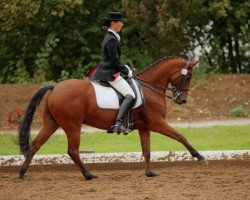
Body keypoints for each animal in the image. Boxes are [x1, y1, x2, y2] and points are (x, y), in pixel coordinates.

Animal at [18, 55, 208, 180]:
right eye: (188, 76)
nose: (182, 100)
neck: (150, 89)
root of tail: (55, 87)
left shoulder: (145, 127)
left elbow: (146, 151)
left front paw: (149, 173)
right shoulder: (157, 123)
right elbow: (180, 136)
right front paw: (200, 157)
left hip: (52, 123)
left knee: (35, 145)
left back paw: (21, 173)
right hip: (72, 125)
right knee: (72, 151)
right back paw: (89, 175)